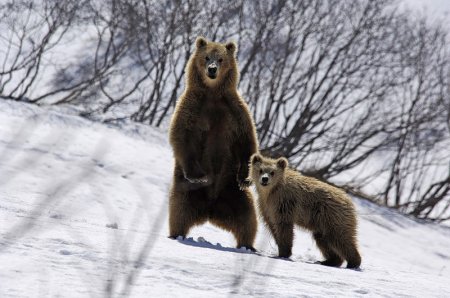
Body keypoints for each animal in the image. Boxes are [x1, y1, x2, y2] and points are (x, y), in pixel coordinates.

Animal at [168, 36, 260, 250]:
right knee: (179, 210)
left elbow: (247, 141)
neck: (212, 93)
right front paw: (198, 175)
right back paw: (176, 234)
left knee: (248, 219)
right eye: (206, 57)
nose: (212, 70)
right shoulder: (192, 108)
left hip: (233, 193)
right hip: (186, 190)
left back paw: (247, 245)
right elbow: (181, 136)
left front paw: (246, 177)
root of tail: (210, 209)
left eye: (221, 59)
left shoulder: (235, 111)